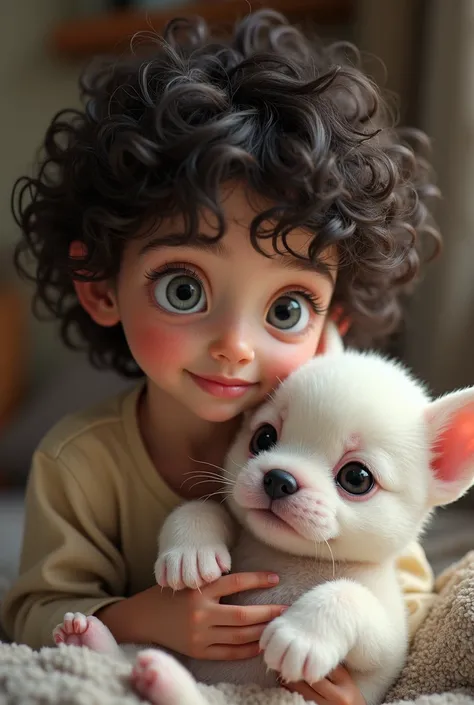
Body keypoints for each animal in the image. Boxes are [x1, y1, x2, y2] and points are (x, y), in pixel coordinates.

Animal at [53, 334, 474, 704]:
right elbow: (203, 507)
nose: (278, 478)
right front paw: (191, 552)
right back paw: (92, 640)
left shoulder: (390, 643)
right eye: (264, 437)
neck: (295, 560)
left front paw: (302, 634)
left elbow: (349, 596)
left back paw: (162, 678)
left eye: (356, 478)